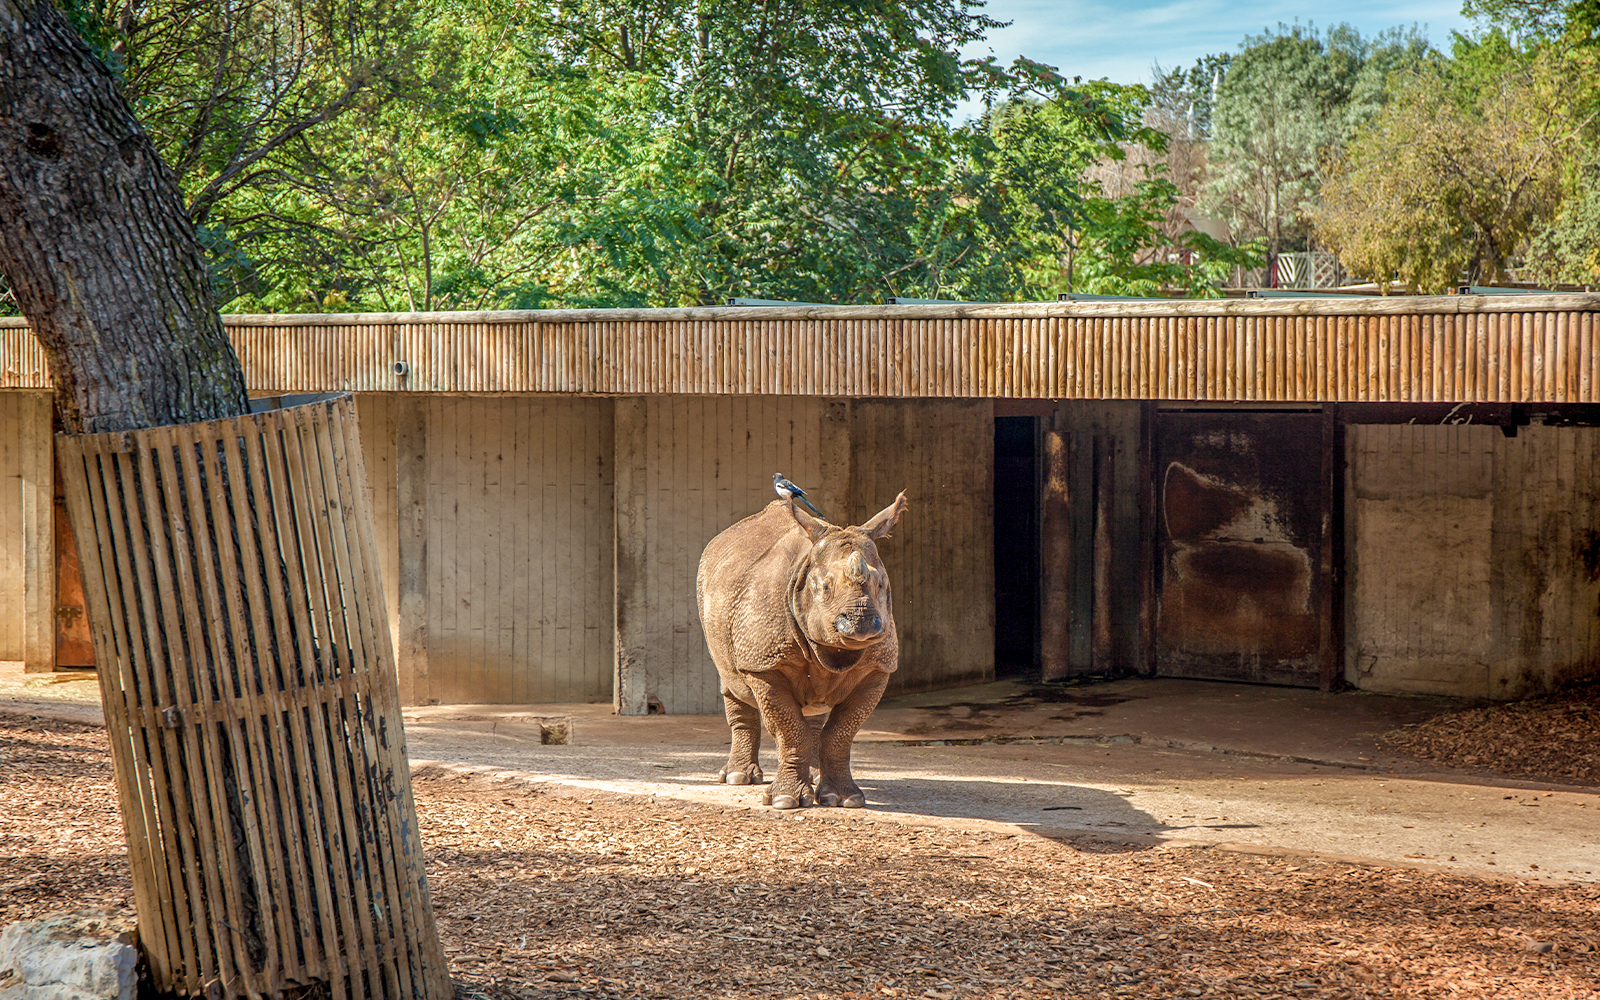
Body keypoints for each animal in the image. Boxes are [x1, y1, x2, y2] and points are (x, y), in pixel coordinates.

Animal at [696, 492, 908, 809]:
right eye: (825, 588)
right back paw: (737, 778)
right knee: (733, 684)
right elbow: (789, 730)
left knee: (815, 712)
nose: (861, 622)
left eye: (881, 584)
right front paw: (785, 801)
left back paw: (815, 779)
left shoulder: (877, 670)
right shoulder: (764, 666)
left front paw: (845, 799)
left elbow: (841, 734)